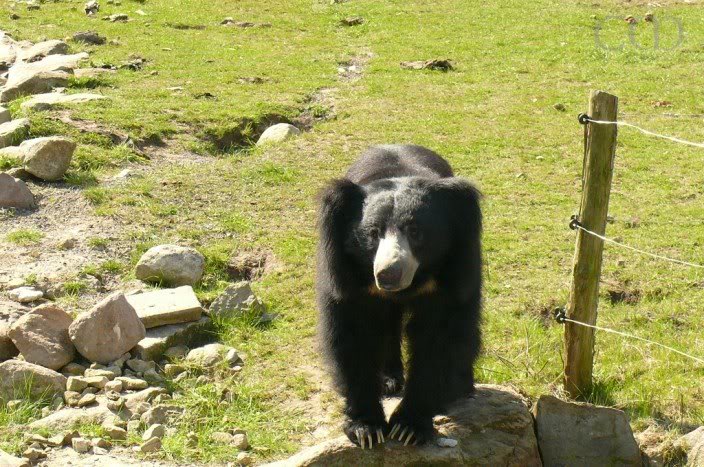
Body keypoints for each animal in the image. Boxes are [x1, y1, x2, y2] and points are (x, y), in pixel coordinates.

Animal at [317, 144, 483, 448]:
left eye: (416, 232)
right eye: (372, 233)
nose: (388, 275)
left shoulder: (453, 271)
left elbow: (439, 337)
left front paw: (409, 427)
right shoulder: (347, 276)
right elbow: (354, 334)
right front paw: (366, 429)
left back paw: (461, 389)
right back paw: (389, 380)